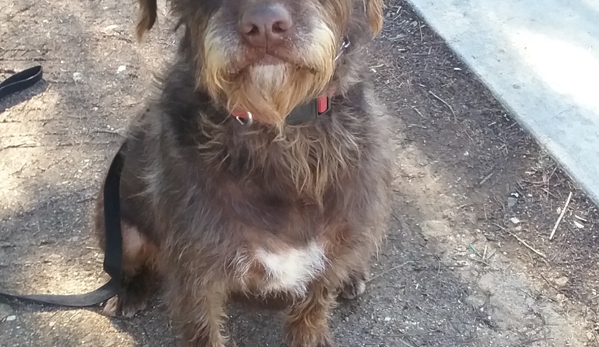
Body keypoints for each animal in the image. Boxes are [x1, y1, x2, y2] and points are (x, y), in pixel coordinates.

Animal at [94, 0, 394, 346]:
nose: (264, 27)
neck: (277, 131)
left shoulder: (337, 243)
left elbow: (315, 304)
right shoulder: (195, 275)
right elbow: (202, 329)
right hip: (118, 225)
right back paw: (130, 289)